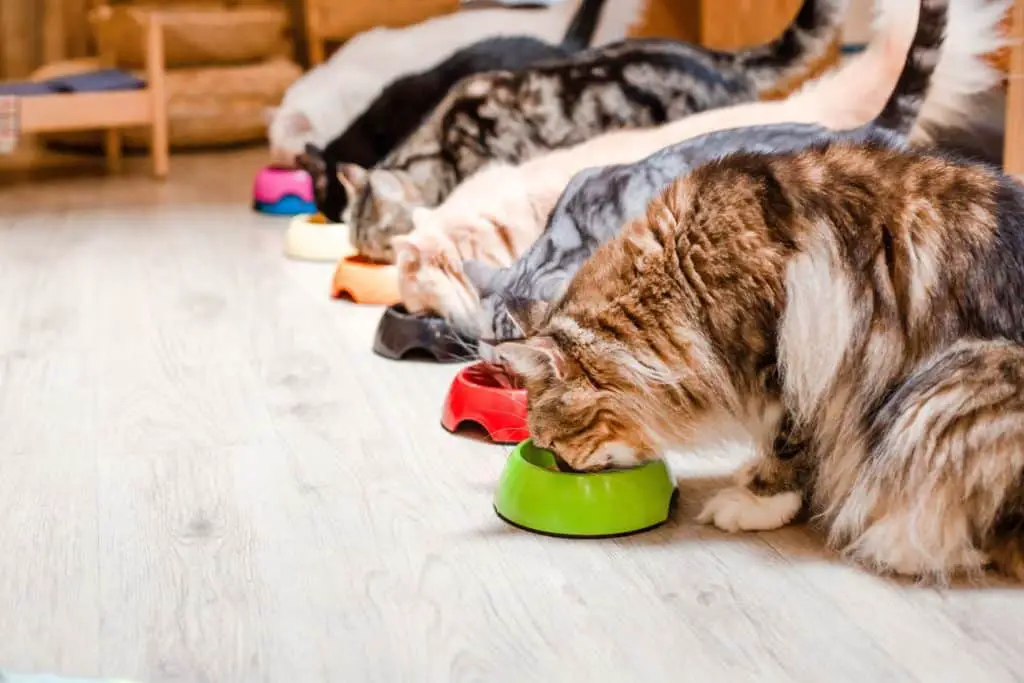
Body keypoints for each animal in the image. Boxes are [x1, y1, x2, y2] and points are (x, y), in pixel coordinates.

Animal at [493, 133, 1024, 581]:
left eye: (557, 445)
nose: (564, 470)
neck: (688, 277)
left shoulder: (798, 354)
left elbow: (792, 442)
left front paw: (760, 501)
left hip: (953, 382)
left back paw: (899, 544)